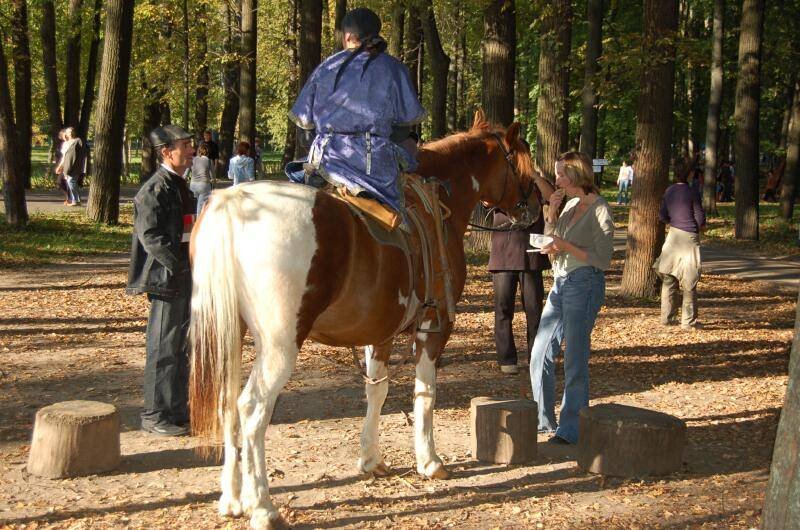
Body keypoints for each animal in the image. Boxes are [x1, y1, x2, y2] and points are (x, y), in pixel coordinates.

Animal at [188, 111, 544, 529]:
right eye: (524, 161)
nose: (535, 209)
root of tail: (236, 200)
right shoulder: (434, 328)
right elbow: (425, 393)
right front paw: (429, 461)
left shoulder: (381, 332)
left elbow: (377, 391)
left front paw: (371, 459)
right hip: (279, 347)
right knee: (252, 410)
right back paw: (262, 505)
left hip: (227, 338)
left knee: (227, 403)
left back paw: (231, 498)